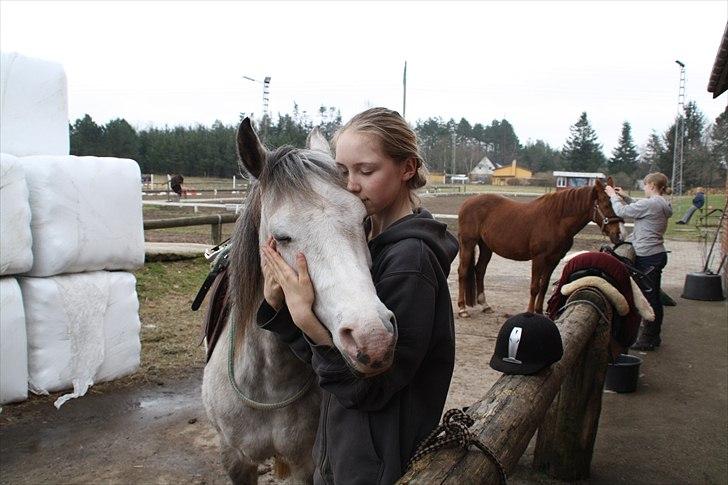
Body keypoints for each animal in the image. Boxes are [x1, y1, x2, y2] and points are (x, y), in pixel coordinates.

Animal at [458, 178, 624, 314]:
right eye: (606, 204)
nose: (619, 235)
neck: (556, 221)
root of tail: (467, 202)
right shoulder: (539, 258)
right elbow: (534, 287)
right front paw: (530, 312)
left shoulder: (554, 260)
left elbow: (544, 286)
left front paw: (538, 311)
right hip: (468, 243)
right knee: (463, 272)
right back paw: (462, 309)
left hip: (486, 247)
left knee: (480, 270)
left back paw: (485, 305)